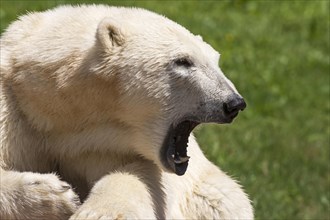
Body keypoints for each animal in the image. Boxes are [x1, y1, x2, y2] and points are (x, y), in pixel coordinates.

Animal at [0, 4, 253, 219]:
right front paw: (52, 195)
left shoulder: (105, 146)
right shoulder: (12, 108)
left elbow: (144, 176)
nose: (234, 103)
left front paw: (99, 212)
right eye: (182, 61)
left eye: (215, 60)